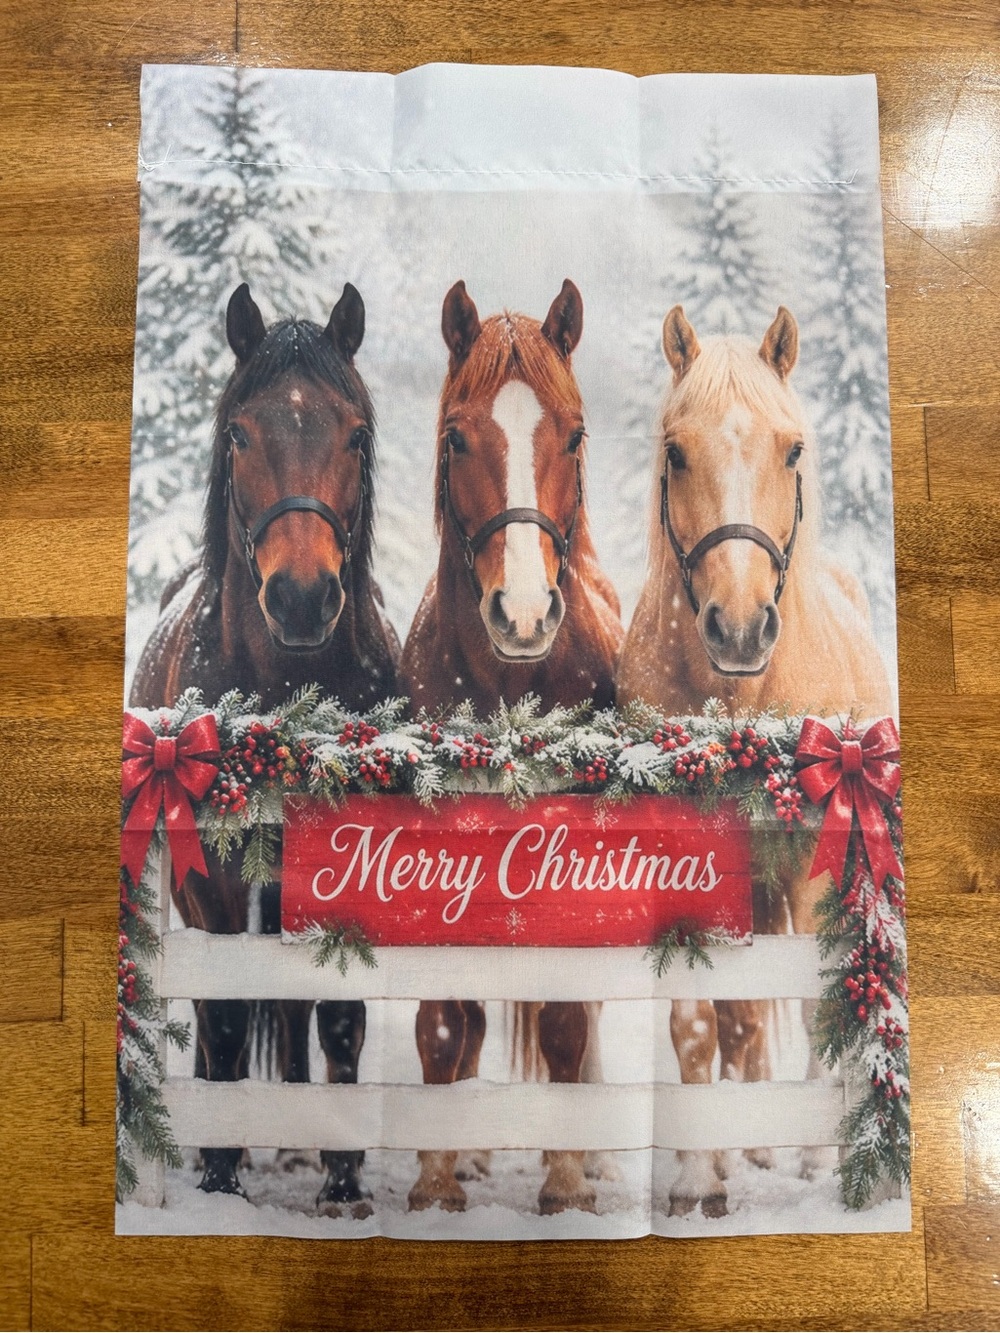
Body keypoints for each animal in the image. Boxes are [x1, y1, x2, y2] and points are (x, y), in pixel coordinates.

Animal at [130, 281, 399, 1213]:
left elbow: (338, 1014)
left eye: (354, 434)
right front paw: (220, 1171)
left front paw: (344, 1177)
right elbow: (222, 1010)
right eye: (238, 433)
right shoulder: (208, 876)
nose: (303, 596)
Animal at [617, 304, 893, 1217]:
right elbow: (704, 1021)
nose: (739, 627)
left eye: (793, 448)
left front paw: (814, 1156)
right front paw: (700, 1172)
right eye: (675, 451)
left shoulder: (810, 869)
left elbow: (813, 1006)